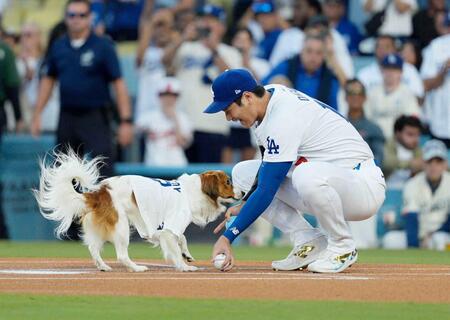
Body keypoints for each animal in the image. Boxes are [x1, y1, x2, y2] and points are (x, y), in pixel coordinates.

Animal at [34, 150, 243, 272]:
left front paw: (187, 254)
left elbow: (182, 238)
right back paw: (136, 268)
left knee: (93, 249)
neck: (194, 191)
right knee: (121, 255)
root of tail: (99, 192)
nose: (242, 192)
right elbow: (175, 247)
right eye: (228, 182)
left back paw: (103, 266)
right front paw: (183, 266)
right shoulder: (169, 227)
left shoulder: (159, 227)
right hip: (121, 227)